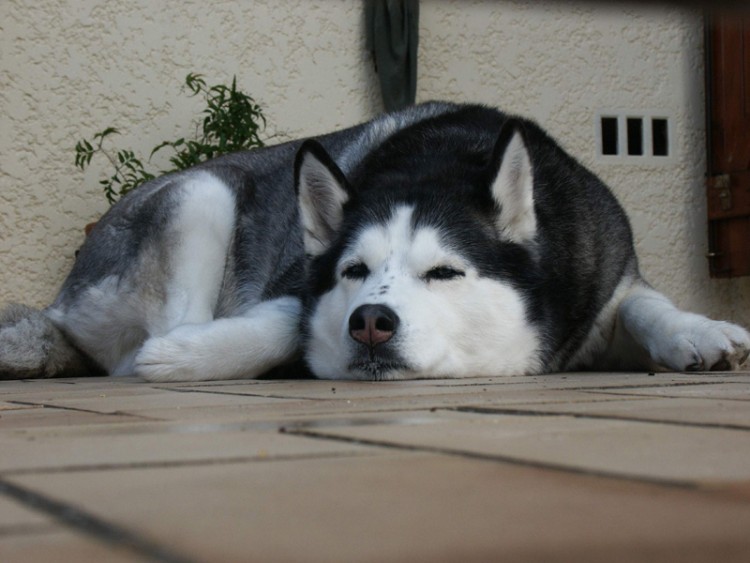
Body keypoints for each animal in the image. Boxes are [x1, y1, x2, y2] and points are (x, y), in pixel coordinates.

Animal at [1, 103, 750, 382]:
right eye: (352, 272)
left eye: (445, 273)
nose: (370, 323)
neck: (444, 159)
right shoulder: (295, 283)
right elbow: (286, 320)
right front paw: (187, 356)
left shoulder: (605, 269)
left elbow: (642, 303)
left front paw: (700, 330)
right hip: (204, 195)